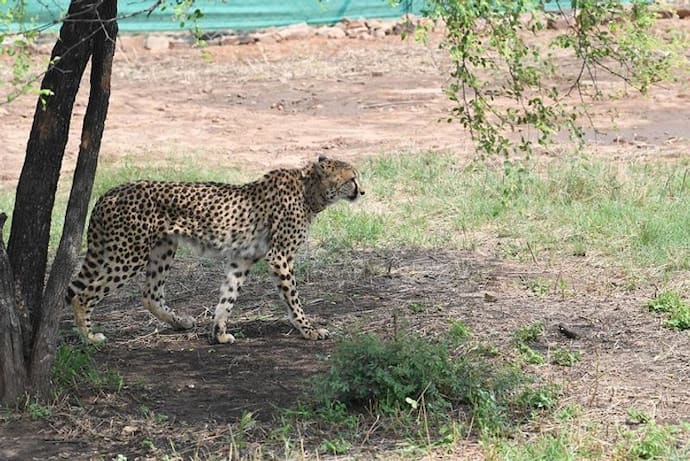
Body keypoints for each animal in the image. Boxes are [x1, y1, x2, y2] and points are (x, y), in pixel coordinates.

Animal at [66, 156, 362, 344]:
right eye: (352, 179)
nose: (363, 192)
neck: (309, 190)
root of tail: (108, 193)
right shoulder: (279, 257)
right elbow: (293, 300)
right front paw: (309, 330)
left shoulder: (243, 257)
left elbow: (228, 297)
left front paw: (218, 332)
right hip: (130, 254)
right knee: (82, 295)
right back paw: (90, 337)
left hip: (163, 247)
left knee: (150, 294)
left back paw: (180, 321)